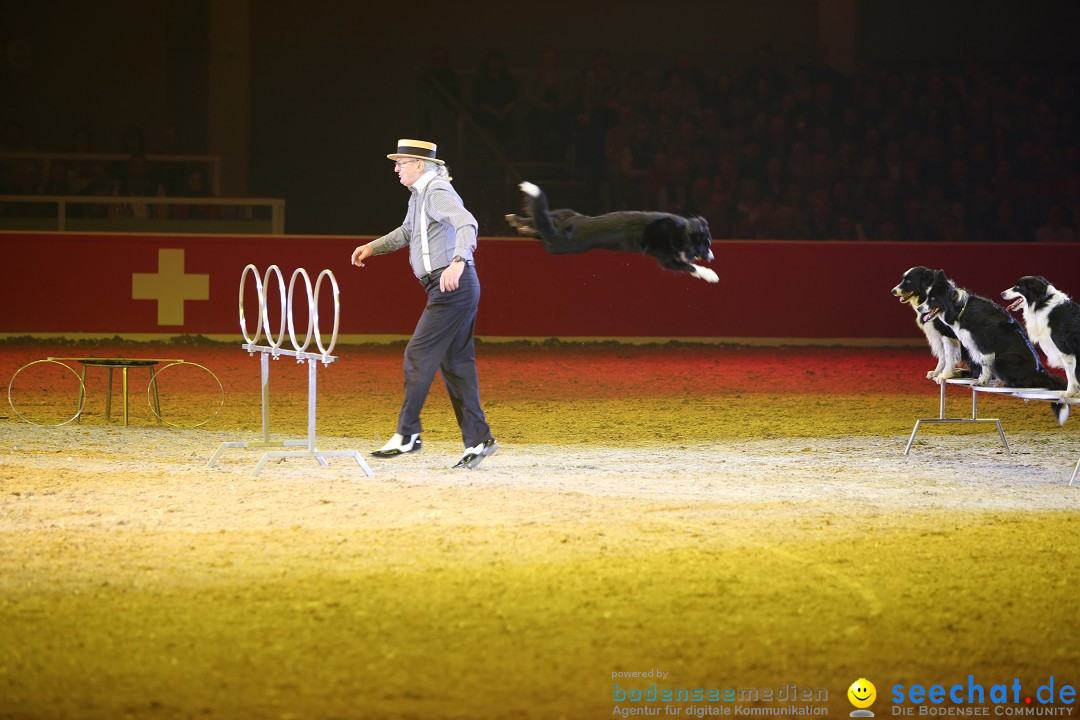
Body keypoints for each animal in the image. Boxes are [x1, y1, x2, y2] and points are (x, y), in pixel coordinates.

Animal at [915, 269, 1067, 425]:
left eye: (932, 298)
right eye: (927, 297)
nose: (919, 309)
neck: (960, 308)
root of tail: (1040, 373)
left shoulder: (984, 343)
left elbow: (983, 364)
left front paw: (980, 381)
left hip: (1003, 360)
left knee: (1025, 382)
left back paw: (1002, 383)